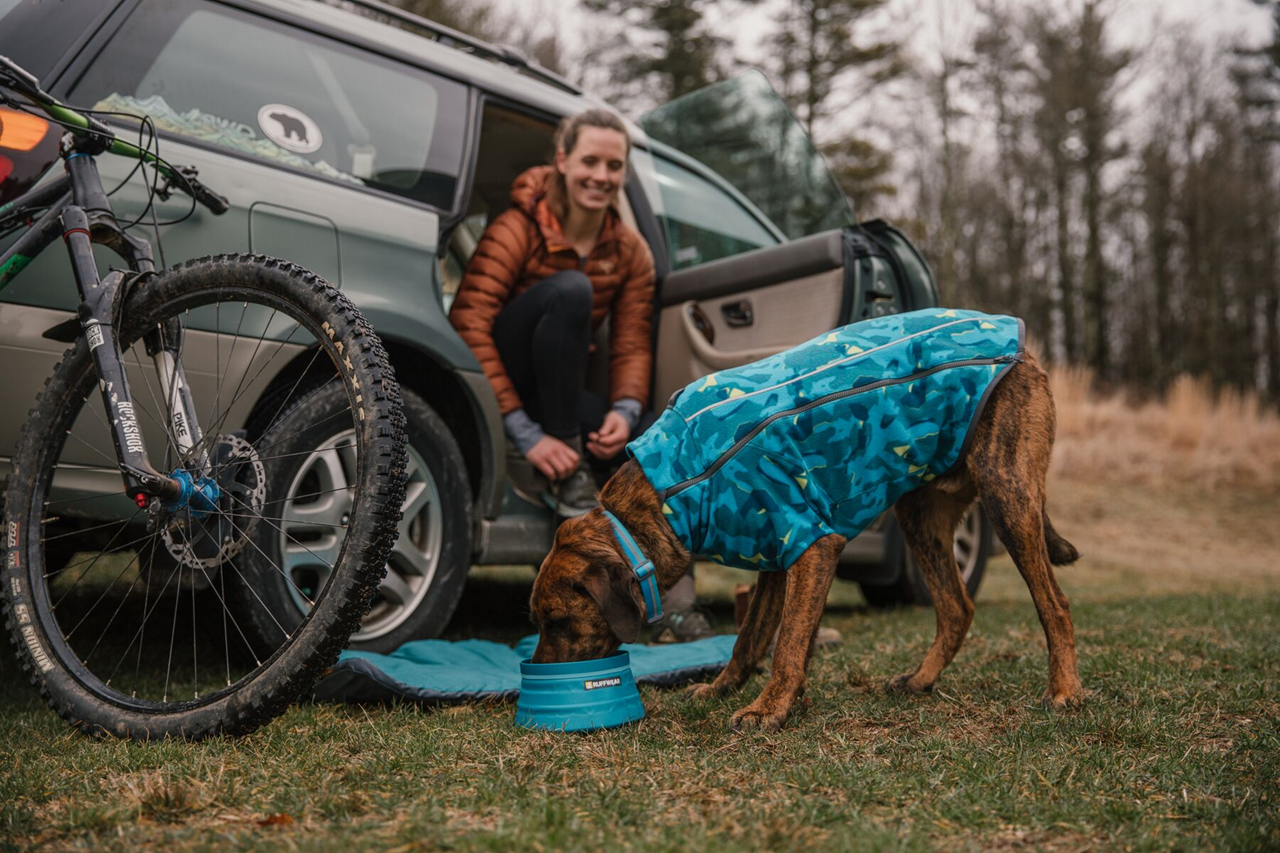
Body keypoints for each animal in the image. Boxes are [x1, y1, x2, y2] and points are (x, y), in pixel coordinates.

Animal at [527, 348, 1080, 727]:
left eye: (557, 623)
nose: (537, 672)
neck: (671, 489)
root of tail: (1027, 350)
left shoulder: (811, 546)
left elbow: (788, 644)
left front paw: (768, 708)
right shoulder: (776, 553)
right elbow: (749, 639)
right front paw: (726, 690)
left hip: (1007, 497)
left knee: (1053, 604)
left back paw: (1064, 691)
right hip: (920, 516)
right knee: (956, 607)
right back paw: (921, 680)